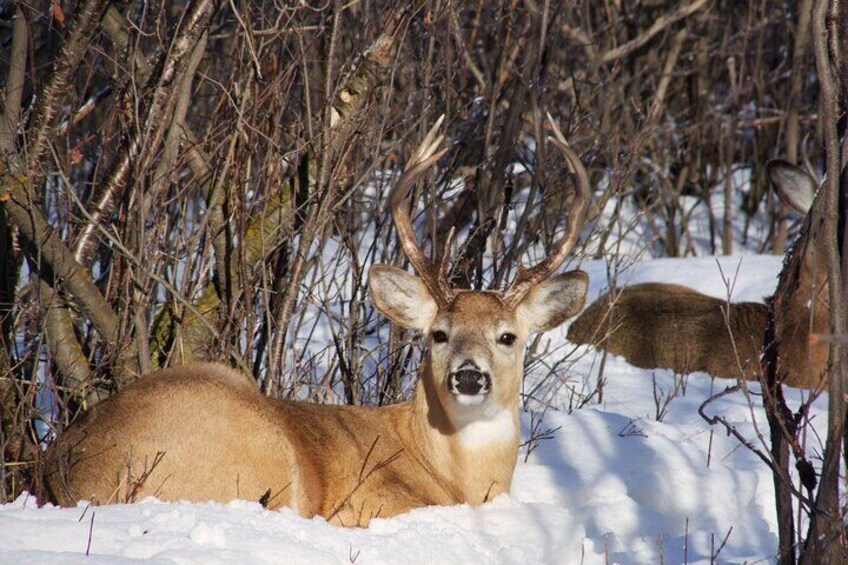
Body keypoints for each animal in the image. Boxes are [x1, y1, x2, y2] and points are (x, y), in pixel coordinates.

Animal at [40, 115, 591, 527]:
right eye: (439, 334)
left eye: (508, 336)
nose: (469, 376)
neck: (453, 476)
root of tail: (68, 466)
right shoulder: (371, 502)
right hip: (254, 445)